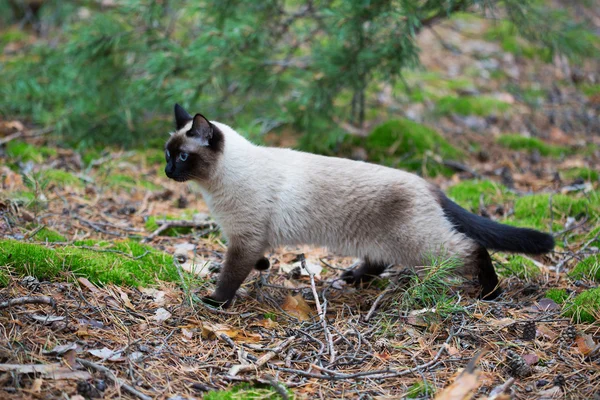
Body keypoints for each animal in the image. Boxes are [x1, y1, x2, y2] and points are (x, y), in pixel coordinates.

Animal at [164, 104, 552, 308]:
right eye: (168, 154)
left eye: (182, 157)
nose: (167, 171)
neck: (215, 187)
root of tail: (428, 183)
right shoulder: (249, 238)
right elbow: (255, 260)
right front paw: (264, 266)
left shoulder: (245, 237)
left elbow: (231, 275)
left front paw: (214, 301)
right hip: (386, 239)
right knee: (381, 260)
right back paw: (352, 277)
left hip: (422, 245)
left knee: (473, 249)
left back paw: (491, 292)